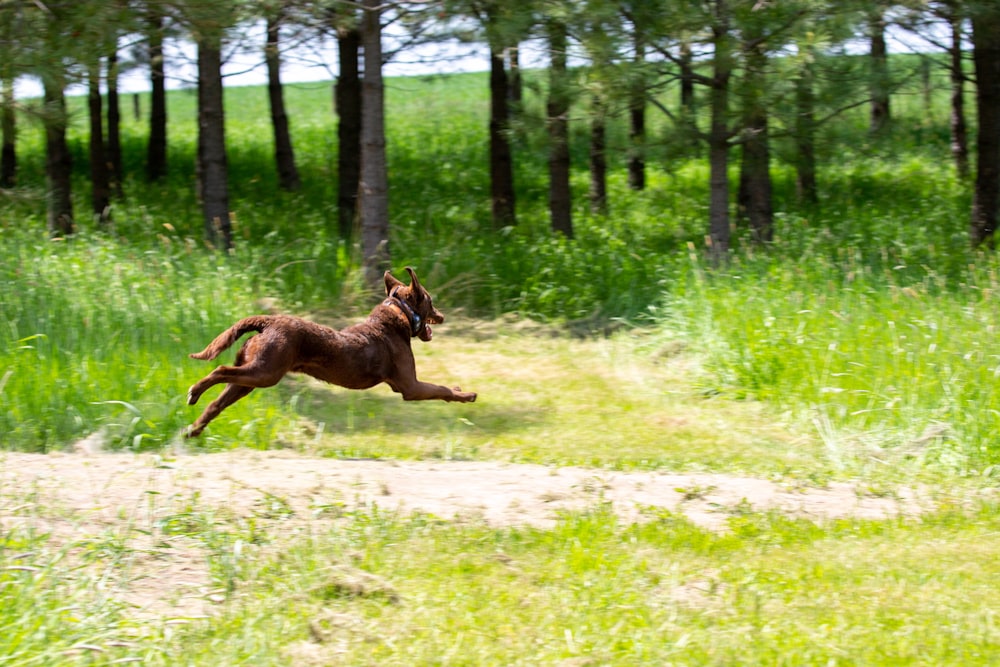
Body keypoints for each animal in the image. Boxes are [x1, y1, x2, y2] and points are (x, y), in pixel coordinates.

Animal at [187, 266, 476, 438]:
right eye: (431, 301)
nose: (442, 316)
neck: (398, 318)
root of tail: (267, 321)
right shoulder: (410, 386)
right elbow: (441, 389)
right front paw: (466, 394)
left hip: (251, 378)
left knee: (216, 402)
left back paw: (192, 429)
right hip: (264, 372)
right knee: (220, 370)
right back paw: (194, 392)